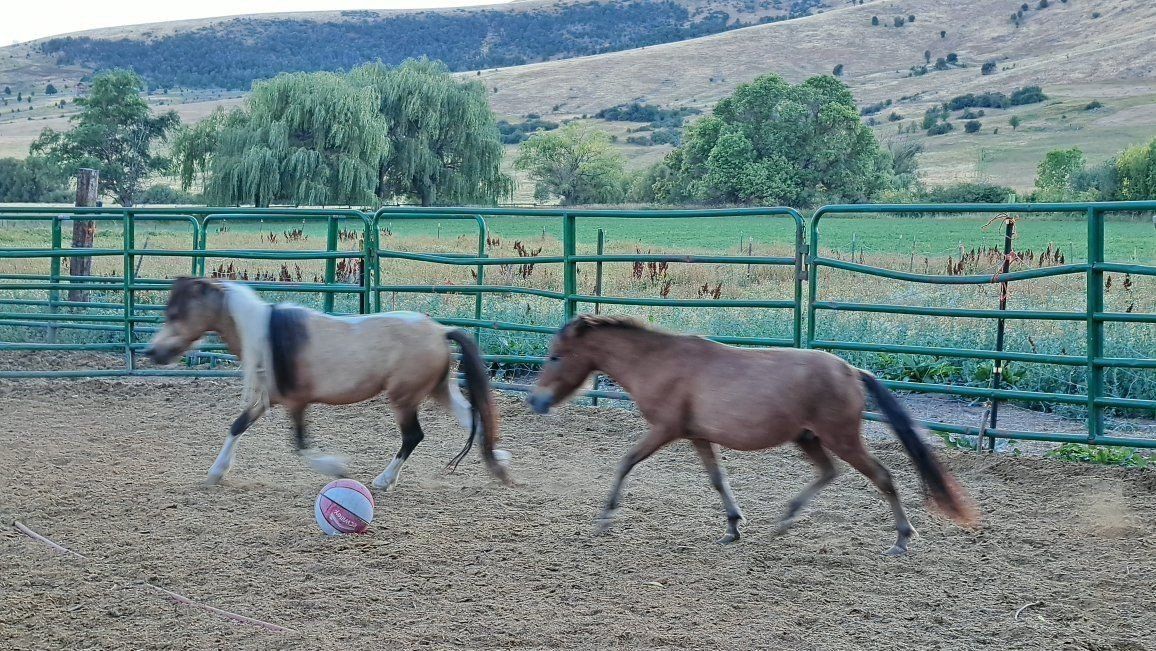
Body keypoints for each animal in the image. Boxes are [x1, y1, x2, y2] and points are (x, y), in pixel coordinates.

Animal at [144, 276, 511, 489]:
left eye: (175, 313)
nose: (152, 351)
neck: (268, 336)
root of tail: (439, 330)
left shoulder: (296, 403)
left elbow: (299, 445)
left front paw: (337, 468)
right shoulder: (267, 399)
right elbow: (237, 426)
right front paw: (216, 472)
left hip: (404, 398)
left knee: (413, 436)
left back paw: (383, 480)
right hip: (439, 390)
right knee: (473, 417)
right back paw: (500, 460)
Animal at [527, 315, 978, 556]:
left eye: (555, 356)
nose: (535, 400)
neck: (659, 362)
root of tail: (852, 371)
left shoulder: (665, 430)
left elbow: (626, 461)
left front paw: (605, 517)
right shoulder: (696, 435)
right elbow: (717, 479)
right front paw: (732, 526)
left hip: (841, 438)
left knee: (883, 476)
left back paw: (902, 539)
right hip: (808, 438)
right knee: (828, 473)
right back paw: (785, 520)